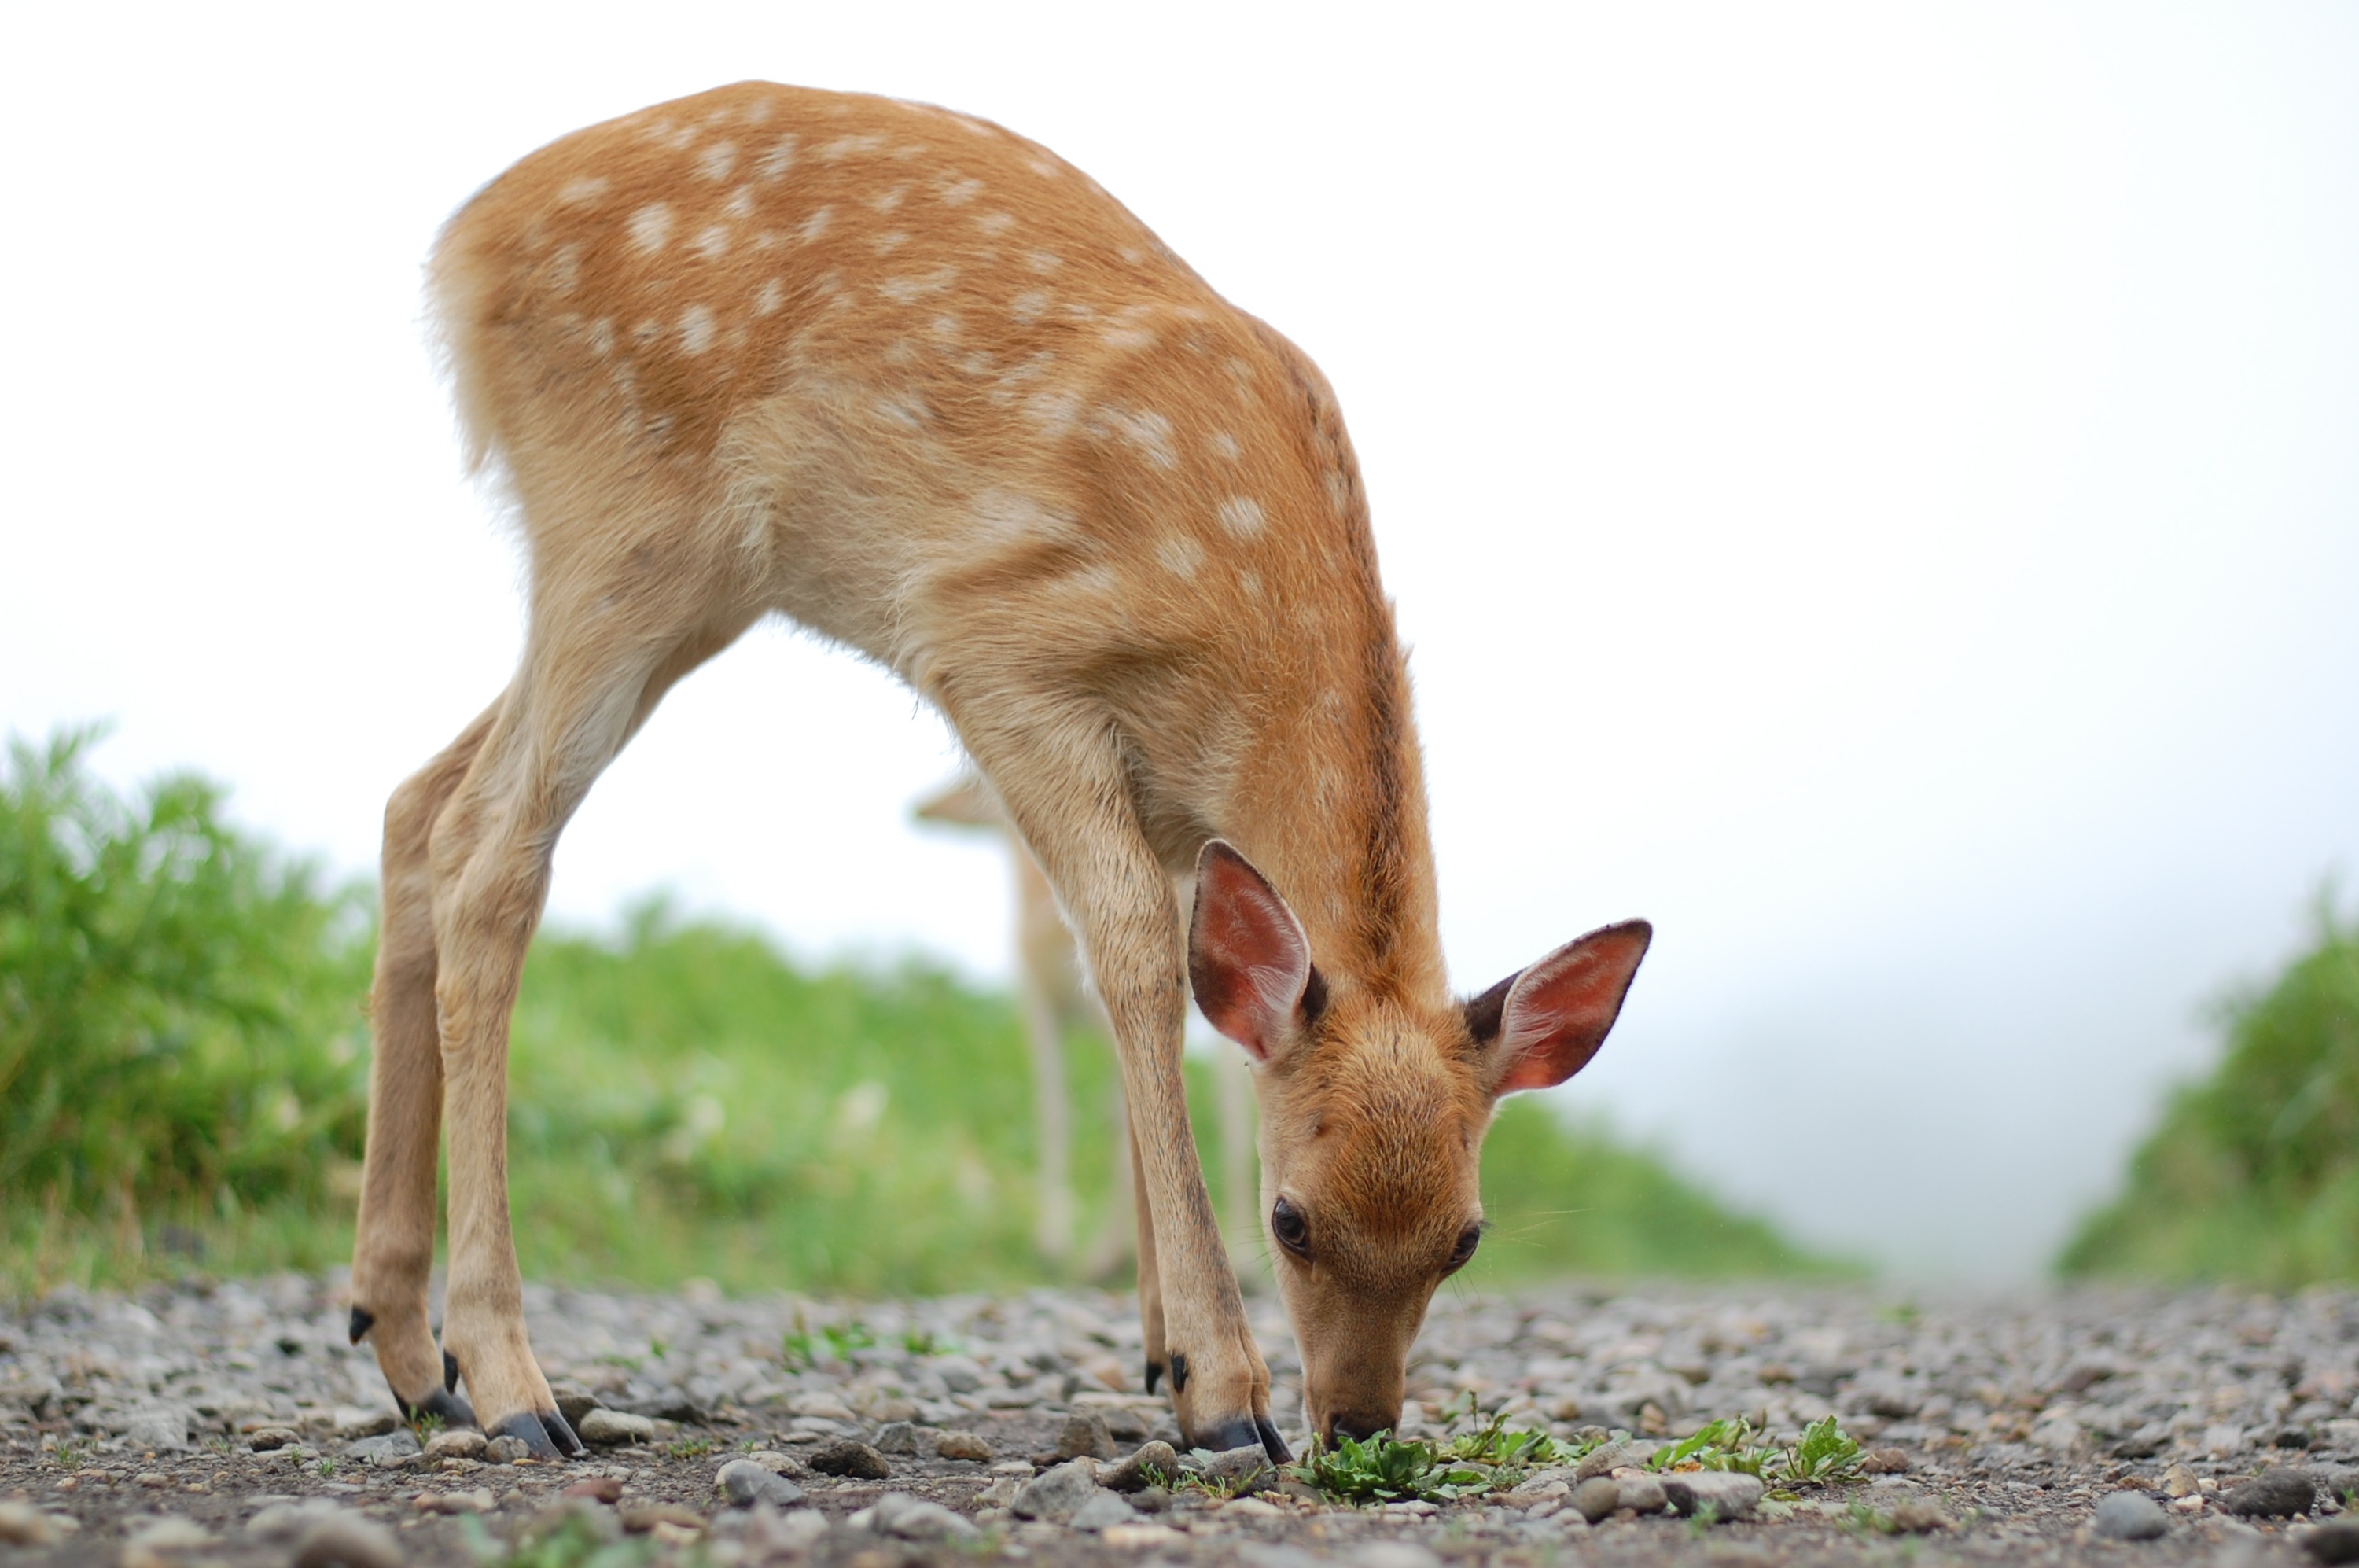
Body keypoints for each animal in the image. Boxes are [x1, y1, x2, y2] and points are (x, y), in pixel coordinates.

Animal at [344, 82, 1661, 1452]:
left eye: (1466, 1238)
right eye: (1290, 1219)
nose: (1356, 1422)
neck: (1252, 652)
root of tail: (463, 245)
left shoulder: (1179, 809)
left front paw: (1157, 1349)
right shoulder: (997, 652)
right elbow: (1134, 959)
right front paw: (1219, 1390)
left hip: (683, 587)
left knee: (416, 803)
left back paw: (408, 1350)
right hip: (625, 527)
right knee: (492, 845)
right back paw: (511, 1382)